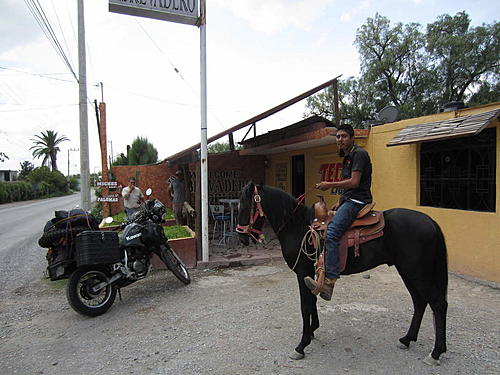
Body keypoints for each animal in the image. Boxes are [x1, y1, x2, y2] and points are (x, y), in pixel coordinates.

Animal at [236, 184, 448, 366]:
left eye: (244, 205)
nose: (241, 237)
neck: (297, 225)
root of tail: (430, 221)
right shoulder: (310, 273)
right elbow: (313, 300)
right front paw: (313, 330)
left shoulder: (302, 272)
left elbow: (305, 305)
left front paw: (302, 345)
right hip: (407, 271)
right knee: (419, 302)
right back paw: (407, 339)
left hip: (417, 272)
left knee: (438, 304)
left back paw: (436, 352)